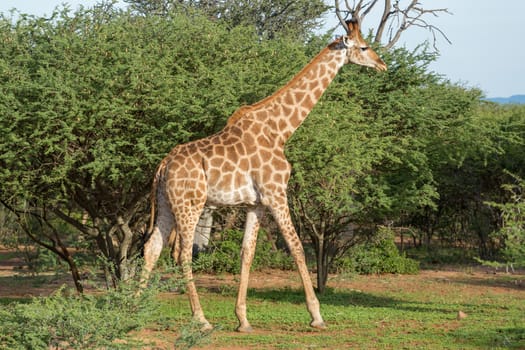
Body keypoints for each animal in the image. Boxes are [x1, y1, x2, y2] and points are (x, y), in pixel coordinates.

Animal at [140, 18, 384, 330]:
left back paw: (132, 306)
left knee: (152, 247)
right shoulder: (276, 193)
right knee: (182, 252)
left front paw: (243, 319)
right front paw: (316, 315)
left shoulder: (254, 204)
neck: (280, 131)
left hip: (168, 203)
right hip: (190, 203)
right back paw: (200, 319)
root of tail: (163, 165)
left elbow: (247, 253)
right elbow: (296, 247)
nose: (382, 64)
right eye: (364, 47)